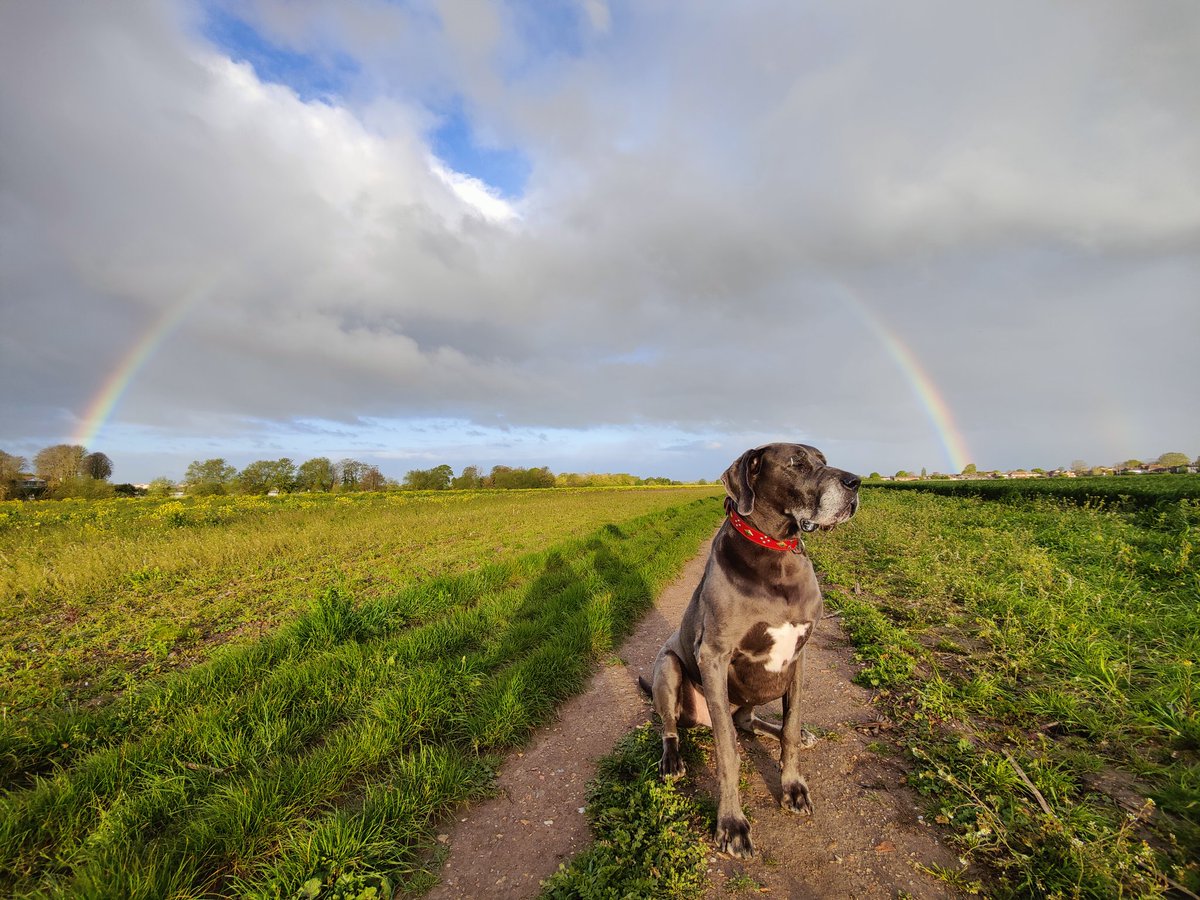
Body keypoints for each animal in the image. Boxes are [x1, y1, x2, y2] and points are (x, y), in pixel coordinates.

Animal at [643, 444, 859, 859]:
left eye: (824, 459)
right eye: (797, 463)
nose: (856, 482)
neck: (777, 554)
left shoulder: (800, 655)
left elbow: (789, 728)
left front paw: (793, 786)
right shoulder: (713, 656)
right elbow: (728, 751)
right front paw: (731, 824)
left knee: (747, 719)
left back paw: (788, 732)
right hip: (668, 666)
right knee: (672, 725)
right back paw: (672, 760)